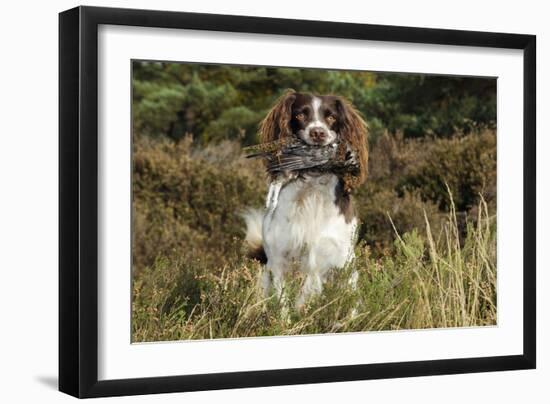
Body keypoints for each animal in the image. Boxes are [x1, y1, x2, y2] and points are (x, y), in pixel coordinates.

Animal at [244, 90, 368, 308]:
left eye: (331, 117)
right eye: (300, 114)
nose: (318, 133)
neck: (312, 188)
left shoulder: (342, 260)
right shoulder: (279, 261)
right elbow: (283, 307)